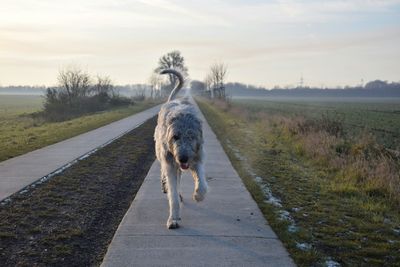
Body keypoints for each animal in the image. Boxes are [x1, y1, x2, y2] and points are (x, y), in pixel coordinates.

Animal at [154, 69, 208, 230]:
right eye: (175, 136)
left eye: (191, 136)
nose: (183, 158)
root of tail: (171, 101)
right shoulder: (170, 163)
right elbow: (172, 193)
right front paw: (173, 218)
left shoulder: (196, 157)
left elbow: (201, 181)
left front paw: (198, 195)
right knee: (168, 177)